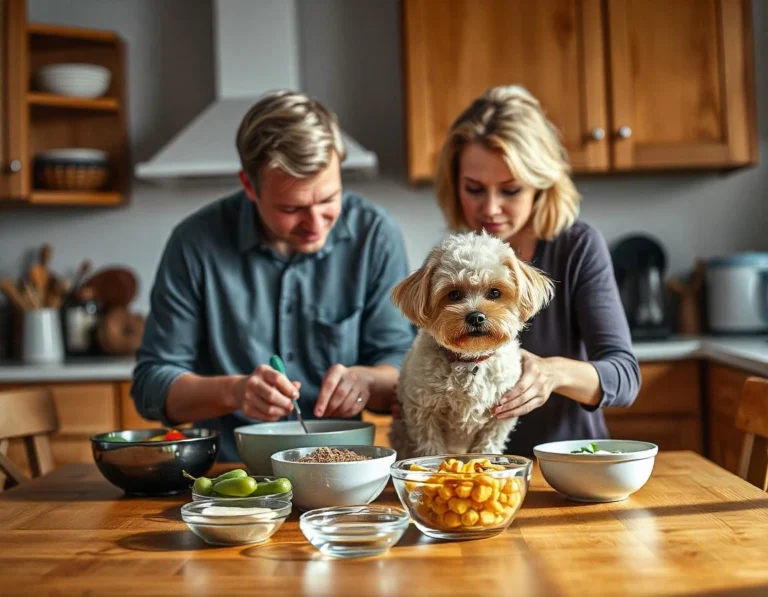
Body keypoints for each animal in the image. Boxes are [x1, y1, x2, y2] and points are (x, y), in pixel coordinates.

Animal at [390, 232, 552, 456]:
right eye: (454, 294)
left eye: (494, 293)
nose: (476, 317)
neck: (469, 360)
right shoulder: (423, 414)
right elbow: (432, 450)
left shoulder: (500, 419)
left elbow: (488, 447)